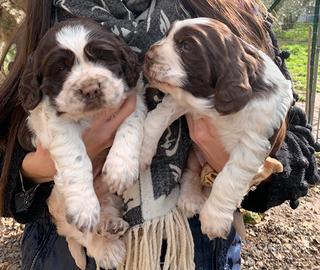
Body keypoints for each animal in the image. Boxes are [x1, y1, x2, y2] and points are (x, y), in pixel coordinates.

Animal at [18, 18, 146, 268]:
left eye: (103, 57)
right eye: (60, 69)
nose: (90, 88)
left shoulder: (133, 98)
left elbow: (129, 127)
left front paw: (120, 169)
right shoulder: (53, 121)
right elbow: (75, 156)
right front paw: (84, 207)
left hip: (108, 198)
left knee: (104, 213)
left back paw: (111, 226)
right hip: (58, 202)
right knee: (85, 236)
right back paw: (107, 249)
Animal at [140, 17, 292, 238]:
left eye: (187, 46)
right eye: (166, 35)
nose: (147, 55)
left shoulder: (253, 141)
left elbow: (229, 178)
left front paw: (214, 220)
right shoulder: (183, 99)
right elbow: (156, 120)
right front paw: (140, 155)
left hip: (269, 163)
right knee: (191, 171)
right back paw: (191, 199)